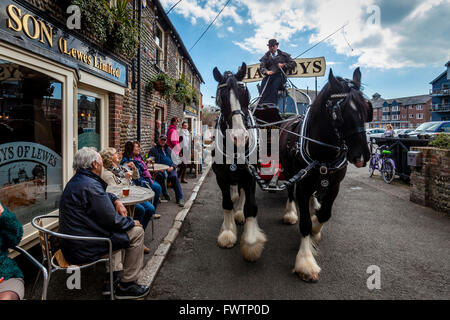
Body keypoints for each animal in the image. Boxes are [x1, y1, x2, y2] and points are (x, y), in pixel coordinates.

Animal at [212, 63, 268, 262]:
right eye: (221, 97)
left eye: (245, 93)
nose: (240, 137)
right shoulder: (221, 176)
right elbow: (226, 203)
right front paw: (228, 232)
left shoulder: (250, 175)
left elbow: (251, 206)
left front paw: (251, 242)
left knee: (242, 193)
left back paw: (239, 213)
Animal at [282, 67, 372, 280]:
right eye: (339, 112)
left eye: (366, 109)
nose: (362, 156)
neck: (323, 152)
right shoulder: (303, 185)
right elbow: (305, 223)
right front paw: (306, 261)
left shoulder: (334, 185)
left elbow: (325, 214)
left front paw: (316, 227)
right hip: (289, 171)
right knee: (290, 192)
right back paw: (290, 212)